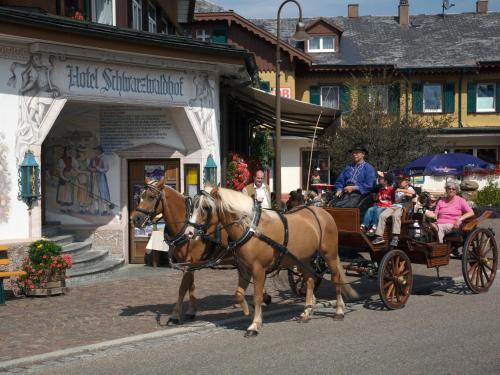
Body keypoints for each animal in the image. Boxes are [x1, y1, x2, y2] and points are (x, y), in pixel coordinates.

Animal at [186, 188, 358, 338]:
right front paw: (248, 312)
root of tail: (322, 212)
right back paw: (306, 312)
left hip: (329, 254)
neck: (251, 229)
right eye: (193, 206)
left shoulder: (258, 270)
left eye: (206, 207)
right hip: (303, 259)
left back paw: (339, 311)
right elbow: (239, 294)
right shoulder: (244, 269)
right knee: (310, 280)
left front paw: (254, 325)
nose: (189, 232)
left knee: (335, 279)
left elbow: (257, 297)